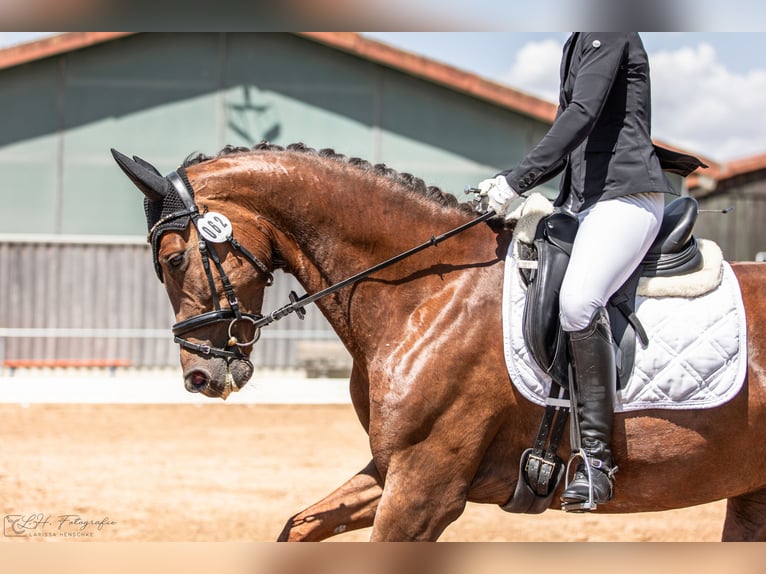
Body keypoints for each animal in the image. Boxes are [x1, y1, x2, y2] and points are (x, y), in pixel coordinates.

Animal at [112, 142, 766, 542]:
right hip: (751, 493)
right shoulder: (392, 469)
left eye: (173, 260)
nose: (200, 376)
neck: (426, 290)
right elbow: (299, 526)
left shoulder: (424, 490)